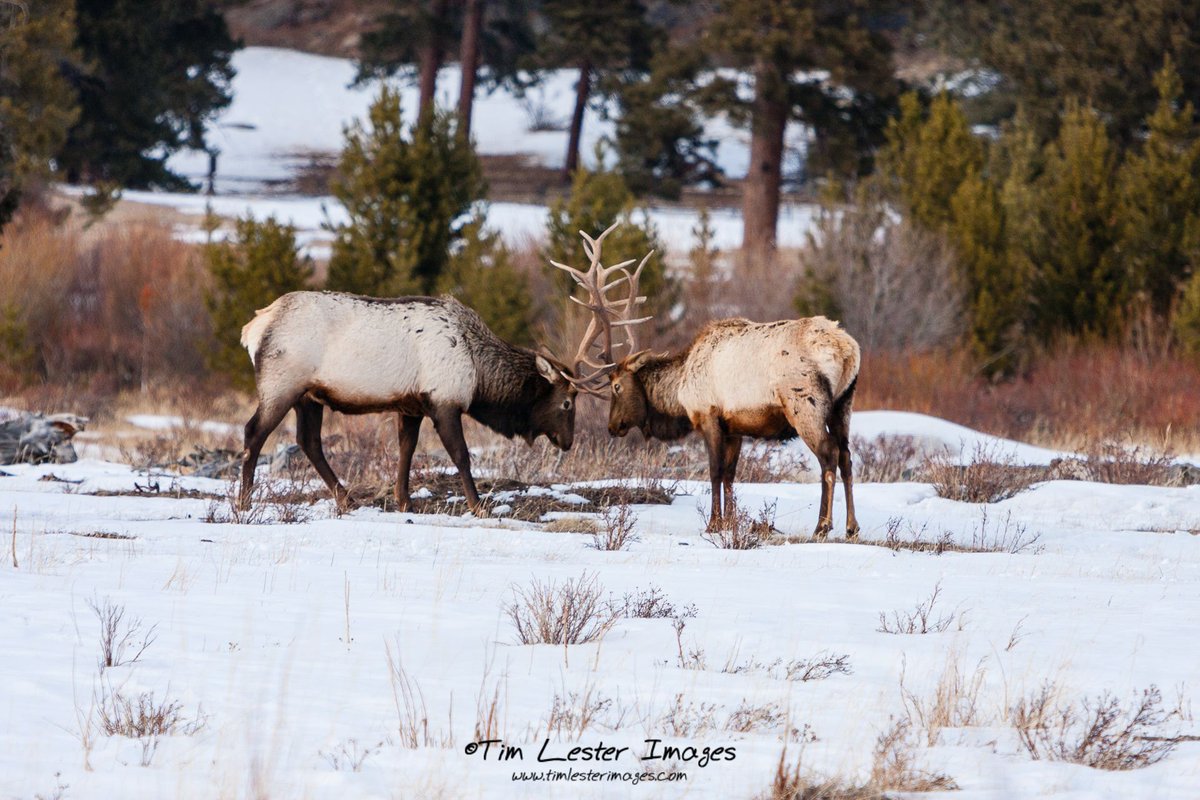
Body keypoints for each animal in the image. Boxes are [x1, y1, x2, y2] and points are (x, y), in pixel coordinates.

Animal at [236, 292, 578, 513]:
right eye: (567, 403)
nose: (568, 442)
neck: (478, 375)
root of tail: (252, 328)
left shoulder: (412, 406)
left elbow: (407, 449)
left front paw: (404, 501)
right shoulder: (444, 401)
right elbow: (461, 455)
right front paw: (478, 505)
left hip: (309, 396)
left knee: (308, 441)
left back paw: (347, 500)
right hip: (281, 384)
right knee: (254, 432)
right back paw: (244, 502)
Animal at [554, 221, 864, 542]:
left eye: (616, 386)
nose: (612, 426)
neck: (679, 390)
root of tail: (847, 350)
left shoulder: (708, 415)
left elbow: (714, 471)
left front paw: (713, 524)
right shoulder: (736, 427)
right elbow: (730, 473)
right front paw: (731, 522)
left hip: (804, 403)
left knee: (828, 454)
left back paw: (822, 526)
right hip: (844, 404)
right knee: (846, 456)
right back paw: (852, 526)